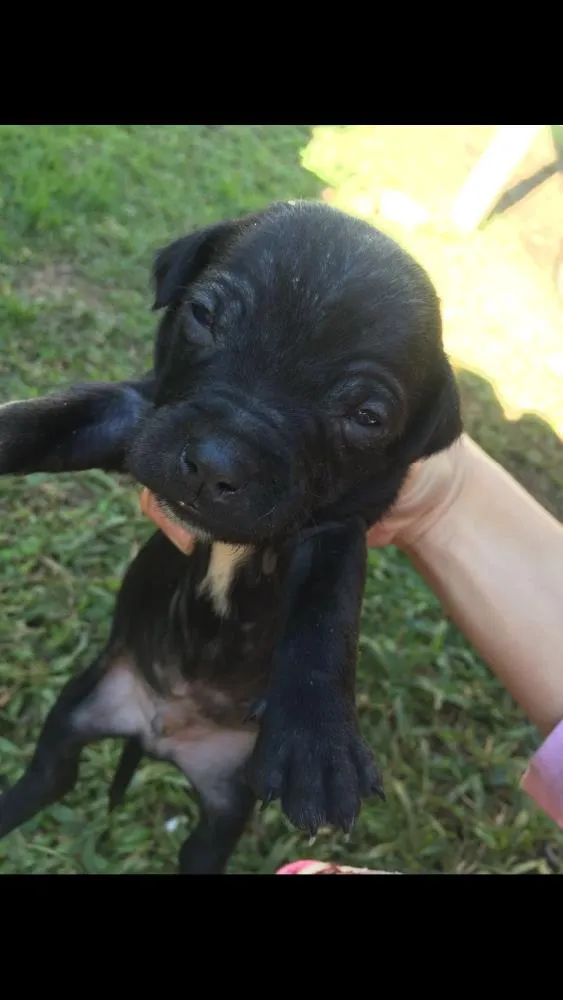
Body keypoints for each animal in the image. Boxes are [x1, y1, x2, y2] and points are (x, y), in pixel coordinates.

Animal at [0, 203, 462, 876]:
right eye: (201, 316)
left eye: (367, 417)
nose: (215, 462)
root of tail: (157, 732)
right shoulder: (133, 414)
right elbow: (51, 417)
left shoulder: (334, 530)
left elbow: (327, 612)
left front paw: (316, 744)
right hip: (76, 712)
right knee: (47, 777)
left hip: (224, 805)